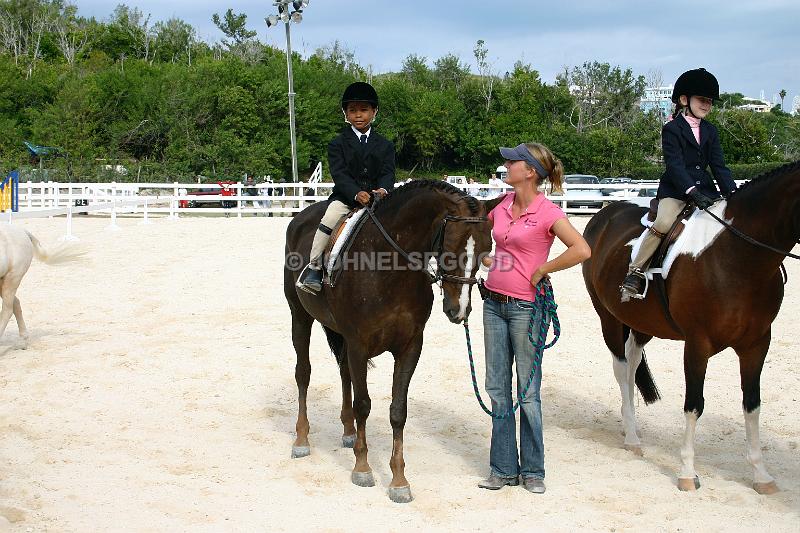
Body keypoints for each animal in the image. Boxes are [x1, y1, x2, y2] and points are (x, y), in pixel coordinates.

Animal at [282, 181, 500, 500]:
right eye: (450, 249)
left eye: (487, 251)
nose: (459, 310)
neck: (389, 268)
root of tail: (300, 217)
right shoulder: (359, 344)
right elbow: (363, 404)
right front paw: (362, 468)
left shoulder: (409, 347)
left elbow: (398, 411)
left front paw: (398, 480)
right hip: (300, 316)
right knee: (303, 374)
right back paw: (301, 439)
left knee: (344, 373)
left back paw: (348, 432)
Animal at [580, 160, 800, 492]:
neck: (738, 257)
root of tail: (605, 215)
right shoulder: (698, 344)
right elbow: (694, 404)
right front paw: (686, 472)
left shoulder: (757, 344)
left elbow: (752, 405)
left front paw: (761, 475)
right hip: (609, 319)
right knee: (621, 368)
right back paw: (631, 437)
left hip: (642, 323)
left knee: (632, 364)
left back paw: (632, 425)